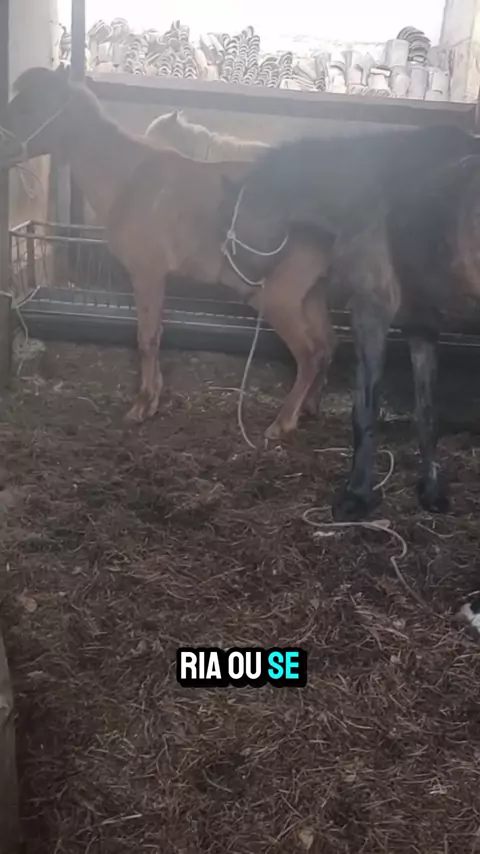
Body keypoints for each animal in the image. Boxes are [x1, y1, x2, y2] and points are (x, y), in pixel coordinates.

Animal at [3, 64, 332, 438]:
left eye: (30, 107)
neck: (129, 177)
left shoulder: (146, 272)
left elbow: (146, 337)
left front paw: (142, 406)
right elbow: (157, 333)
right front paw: (154, 398)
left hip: (280, 295)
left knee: (309, 353)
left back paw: (283, 421)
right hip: (312, 290)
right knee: (325, 346)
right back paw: (309, 407)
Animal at [217, 125, 480, 520]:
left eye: (227, 223)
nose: (242, 282)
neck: (372, 191)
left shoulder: (370, 312)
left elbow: (365, 410)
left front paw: (355, 496)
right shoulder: (422, 328)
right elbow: (427, 413)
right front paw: (432, 493)